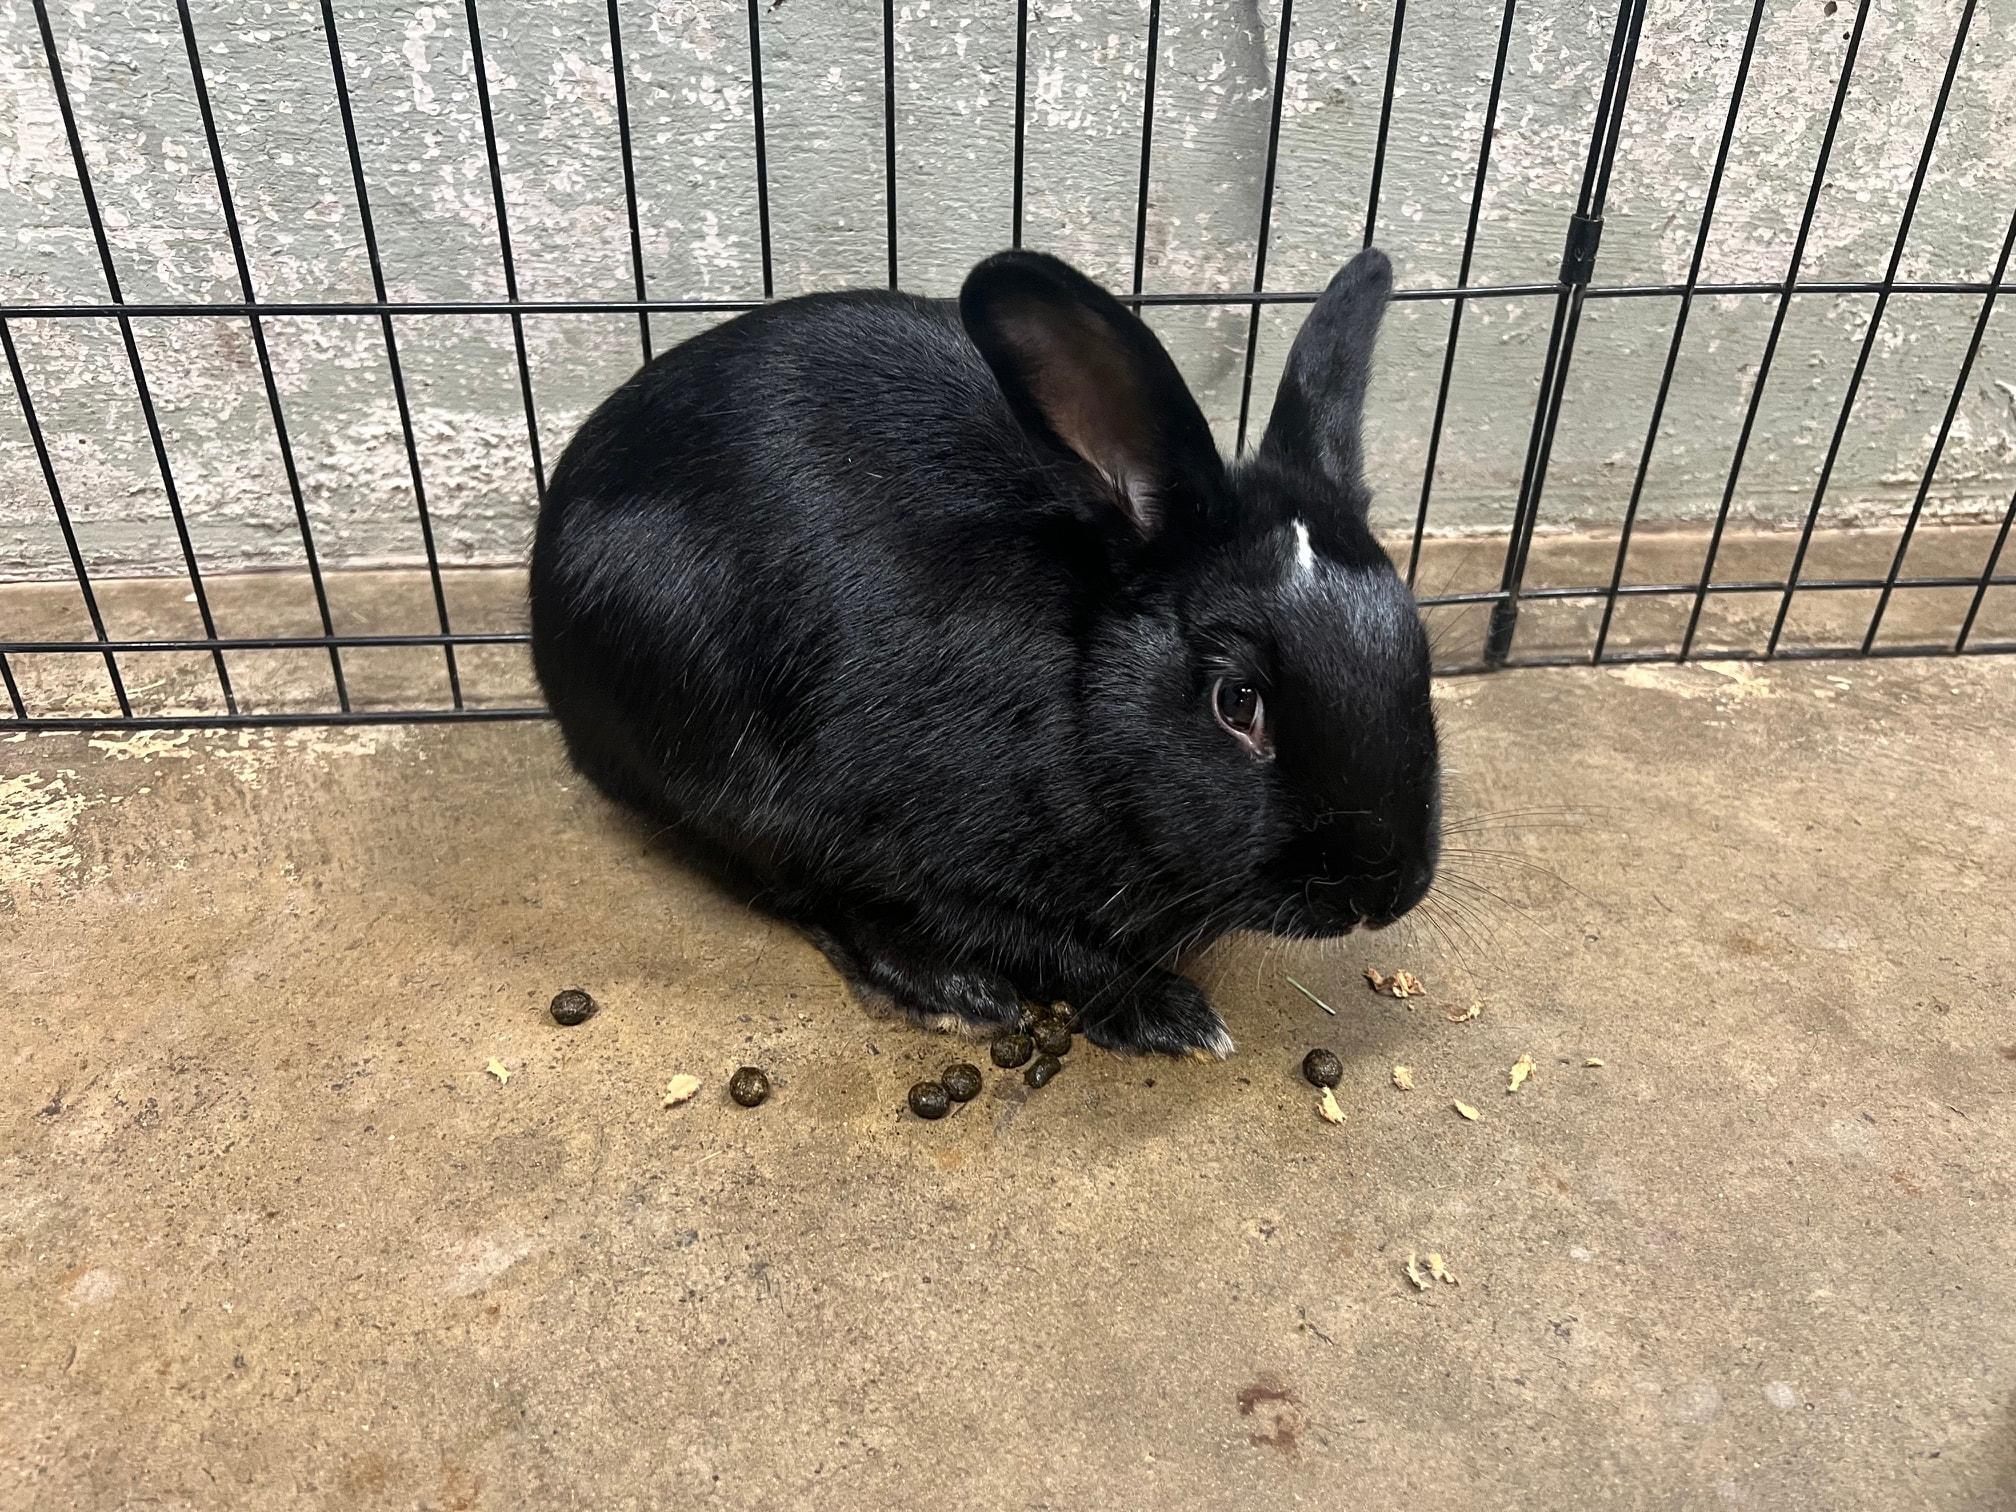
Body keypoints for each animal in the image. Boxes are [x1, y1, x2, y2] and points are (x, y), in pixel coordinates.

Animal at [529, 246, 1440, 1058]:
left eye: (1417, 647)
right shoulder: (899, 847)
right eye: (1237, 701)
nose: (1382, 893)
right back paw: (949, 992)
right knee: (787, 885)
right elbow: (1021, 937)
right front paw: (1167, 1015)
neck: (1077, 693)